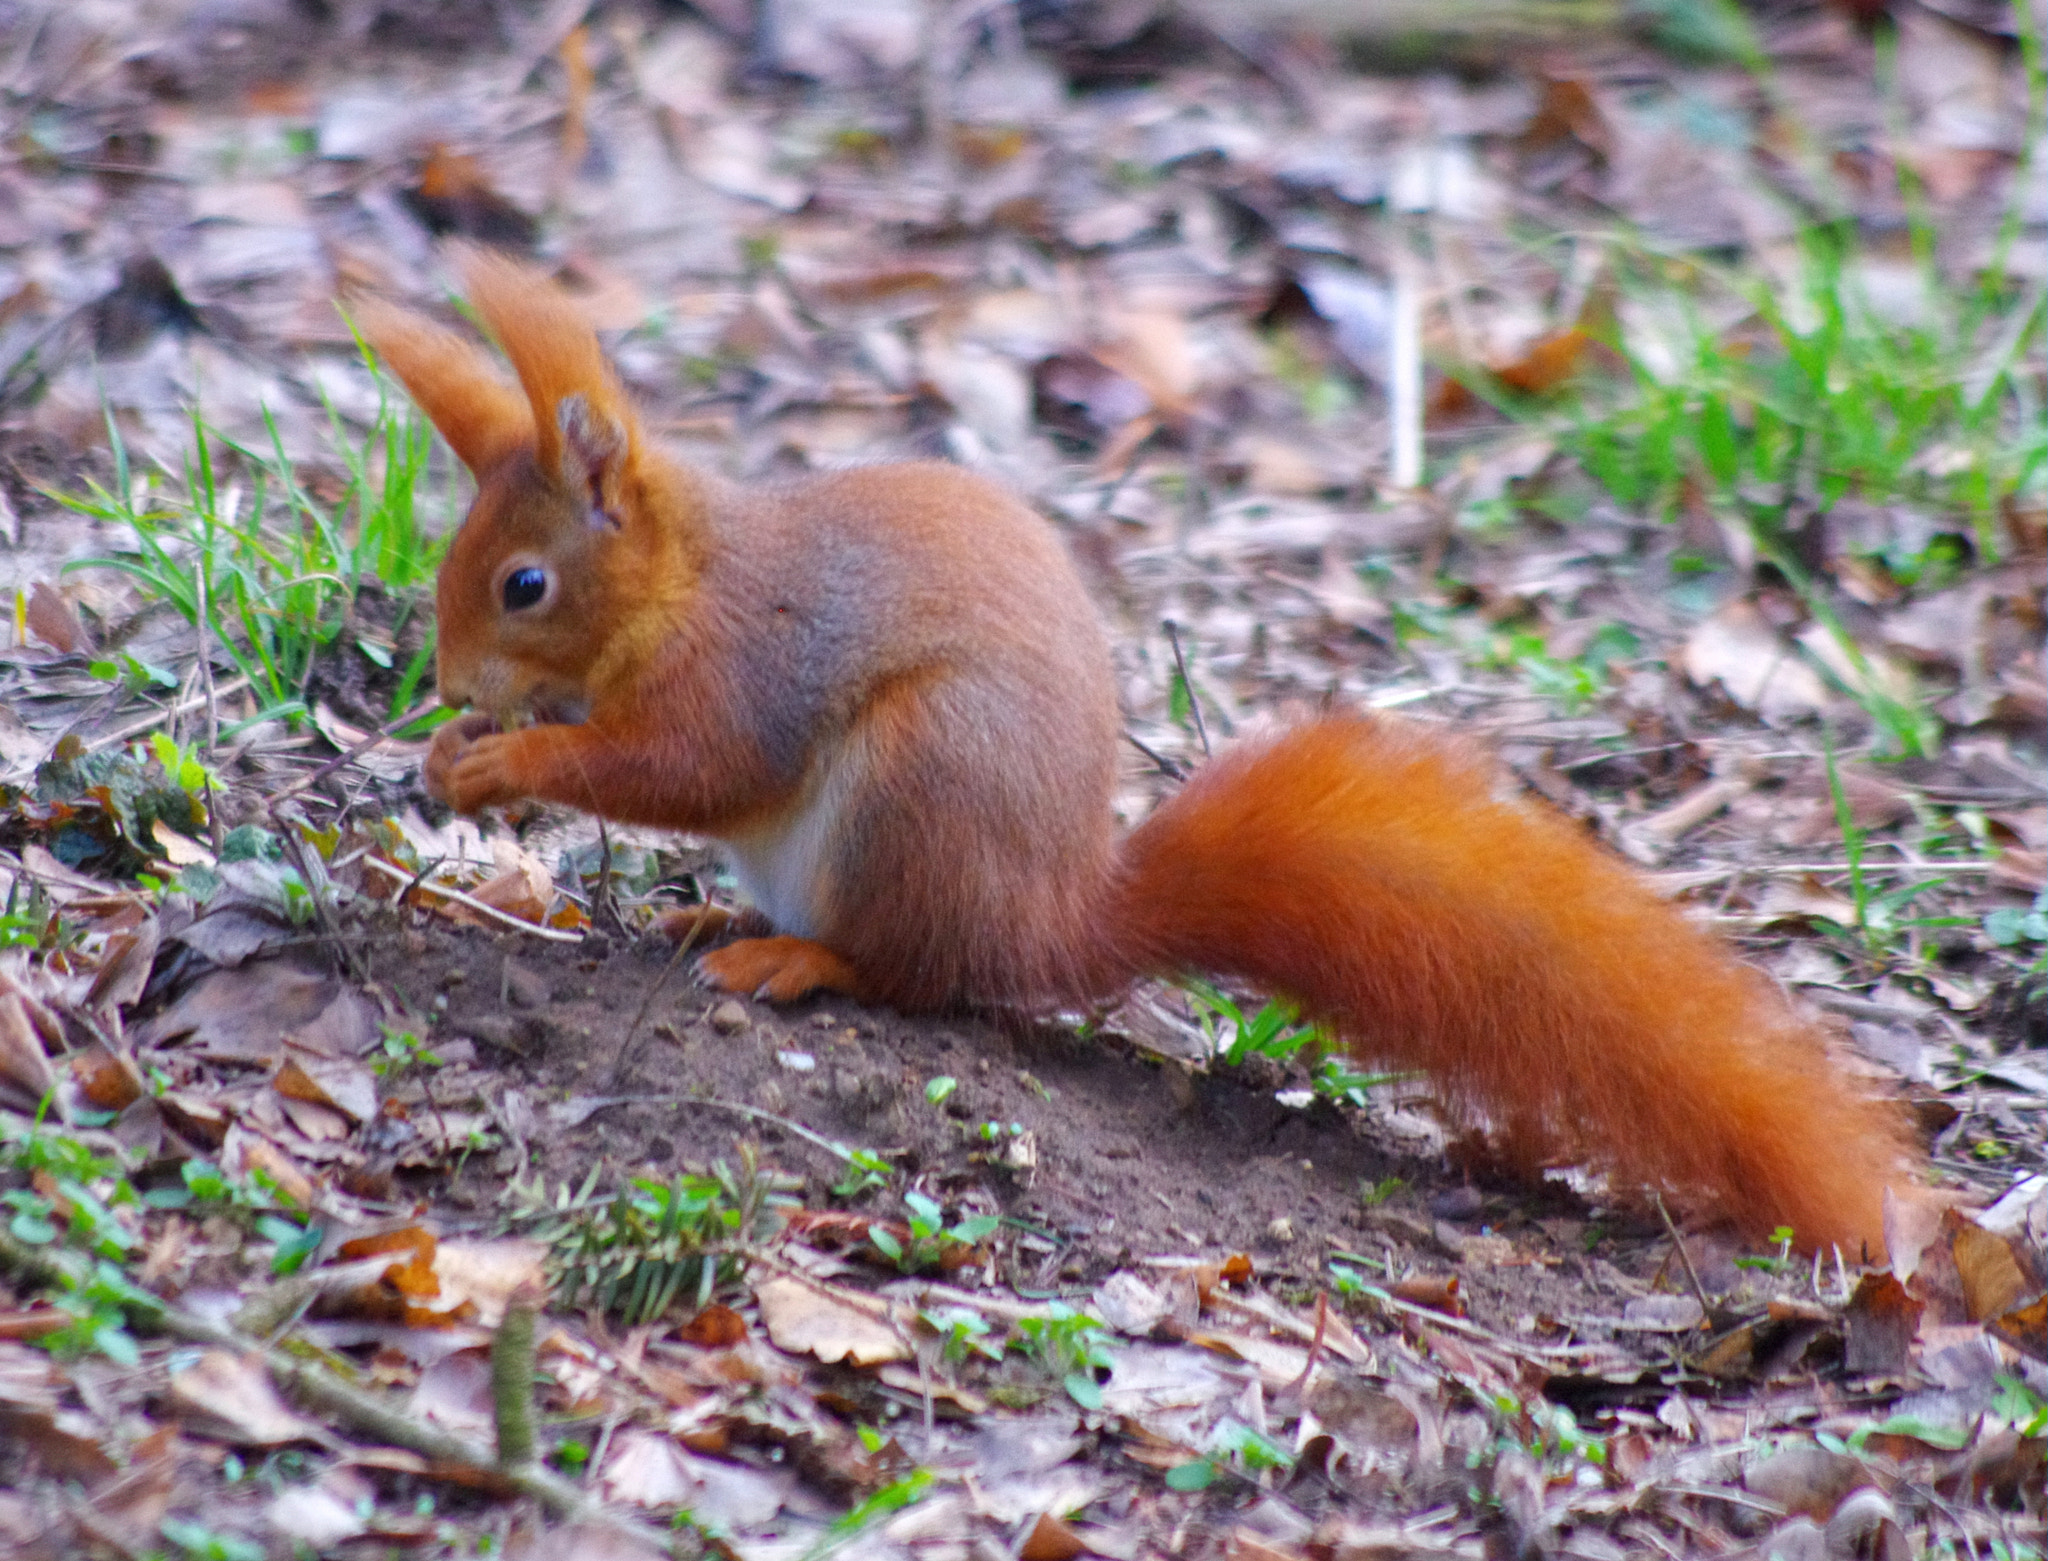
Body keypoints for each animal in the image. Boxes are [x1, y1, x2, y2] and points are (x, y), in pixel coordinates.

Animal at [352, 251, 1915, 1256]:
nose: (450, 680)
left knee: (908, 973)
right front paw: (456, 752)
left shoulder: (749, 670)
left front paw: (494, 767)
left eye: (524, 585)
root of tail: (1045, 919)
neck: (685, 580)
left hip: (916, 784)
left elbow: (682, 769)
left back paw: (795, 957)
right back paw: (715, 918)